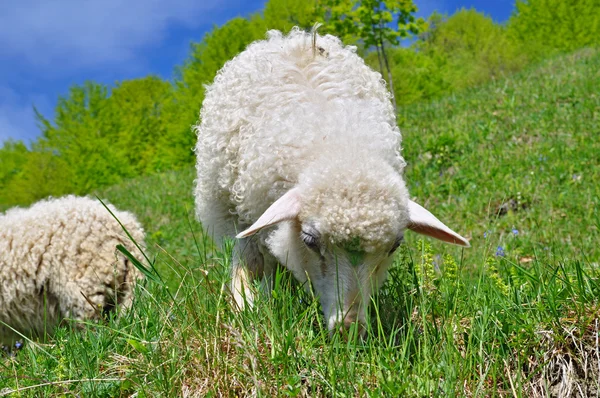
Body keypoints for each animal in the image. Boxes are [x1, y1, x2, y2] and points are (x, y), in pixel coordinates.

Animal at [195, 26, 472, 334]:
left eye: (394, 246)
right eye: (310, 240)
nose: (349, 328)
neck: (338, 148)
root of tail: (293, 37)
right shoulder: (240, 211)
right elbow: (249, 262)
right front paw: (245, 308)